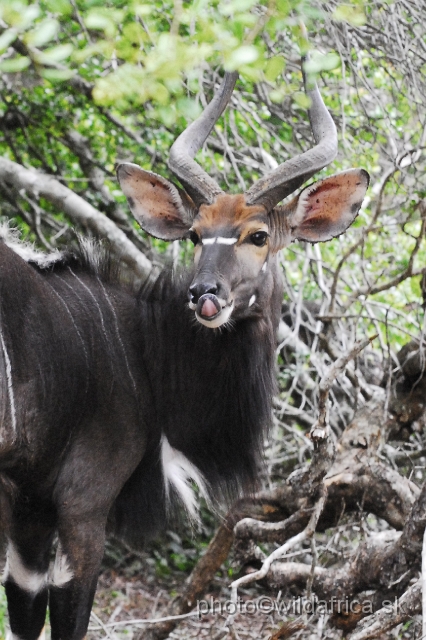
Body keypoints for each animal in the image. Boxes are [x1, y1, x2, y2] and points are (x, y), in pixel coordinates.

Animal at [0, 66, 368, 640]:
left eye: (258, 235)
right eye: (195, 235)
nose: (204, 295)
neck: (144, 353)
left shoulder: (30, 510)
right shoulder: (83, 503)